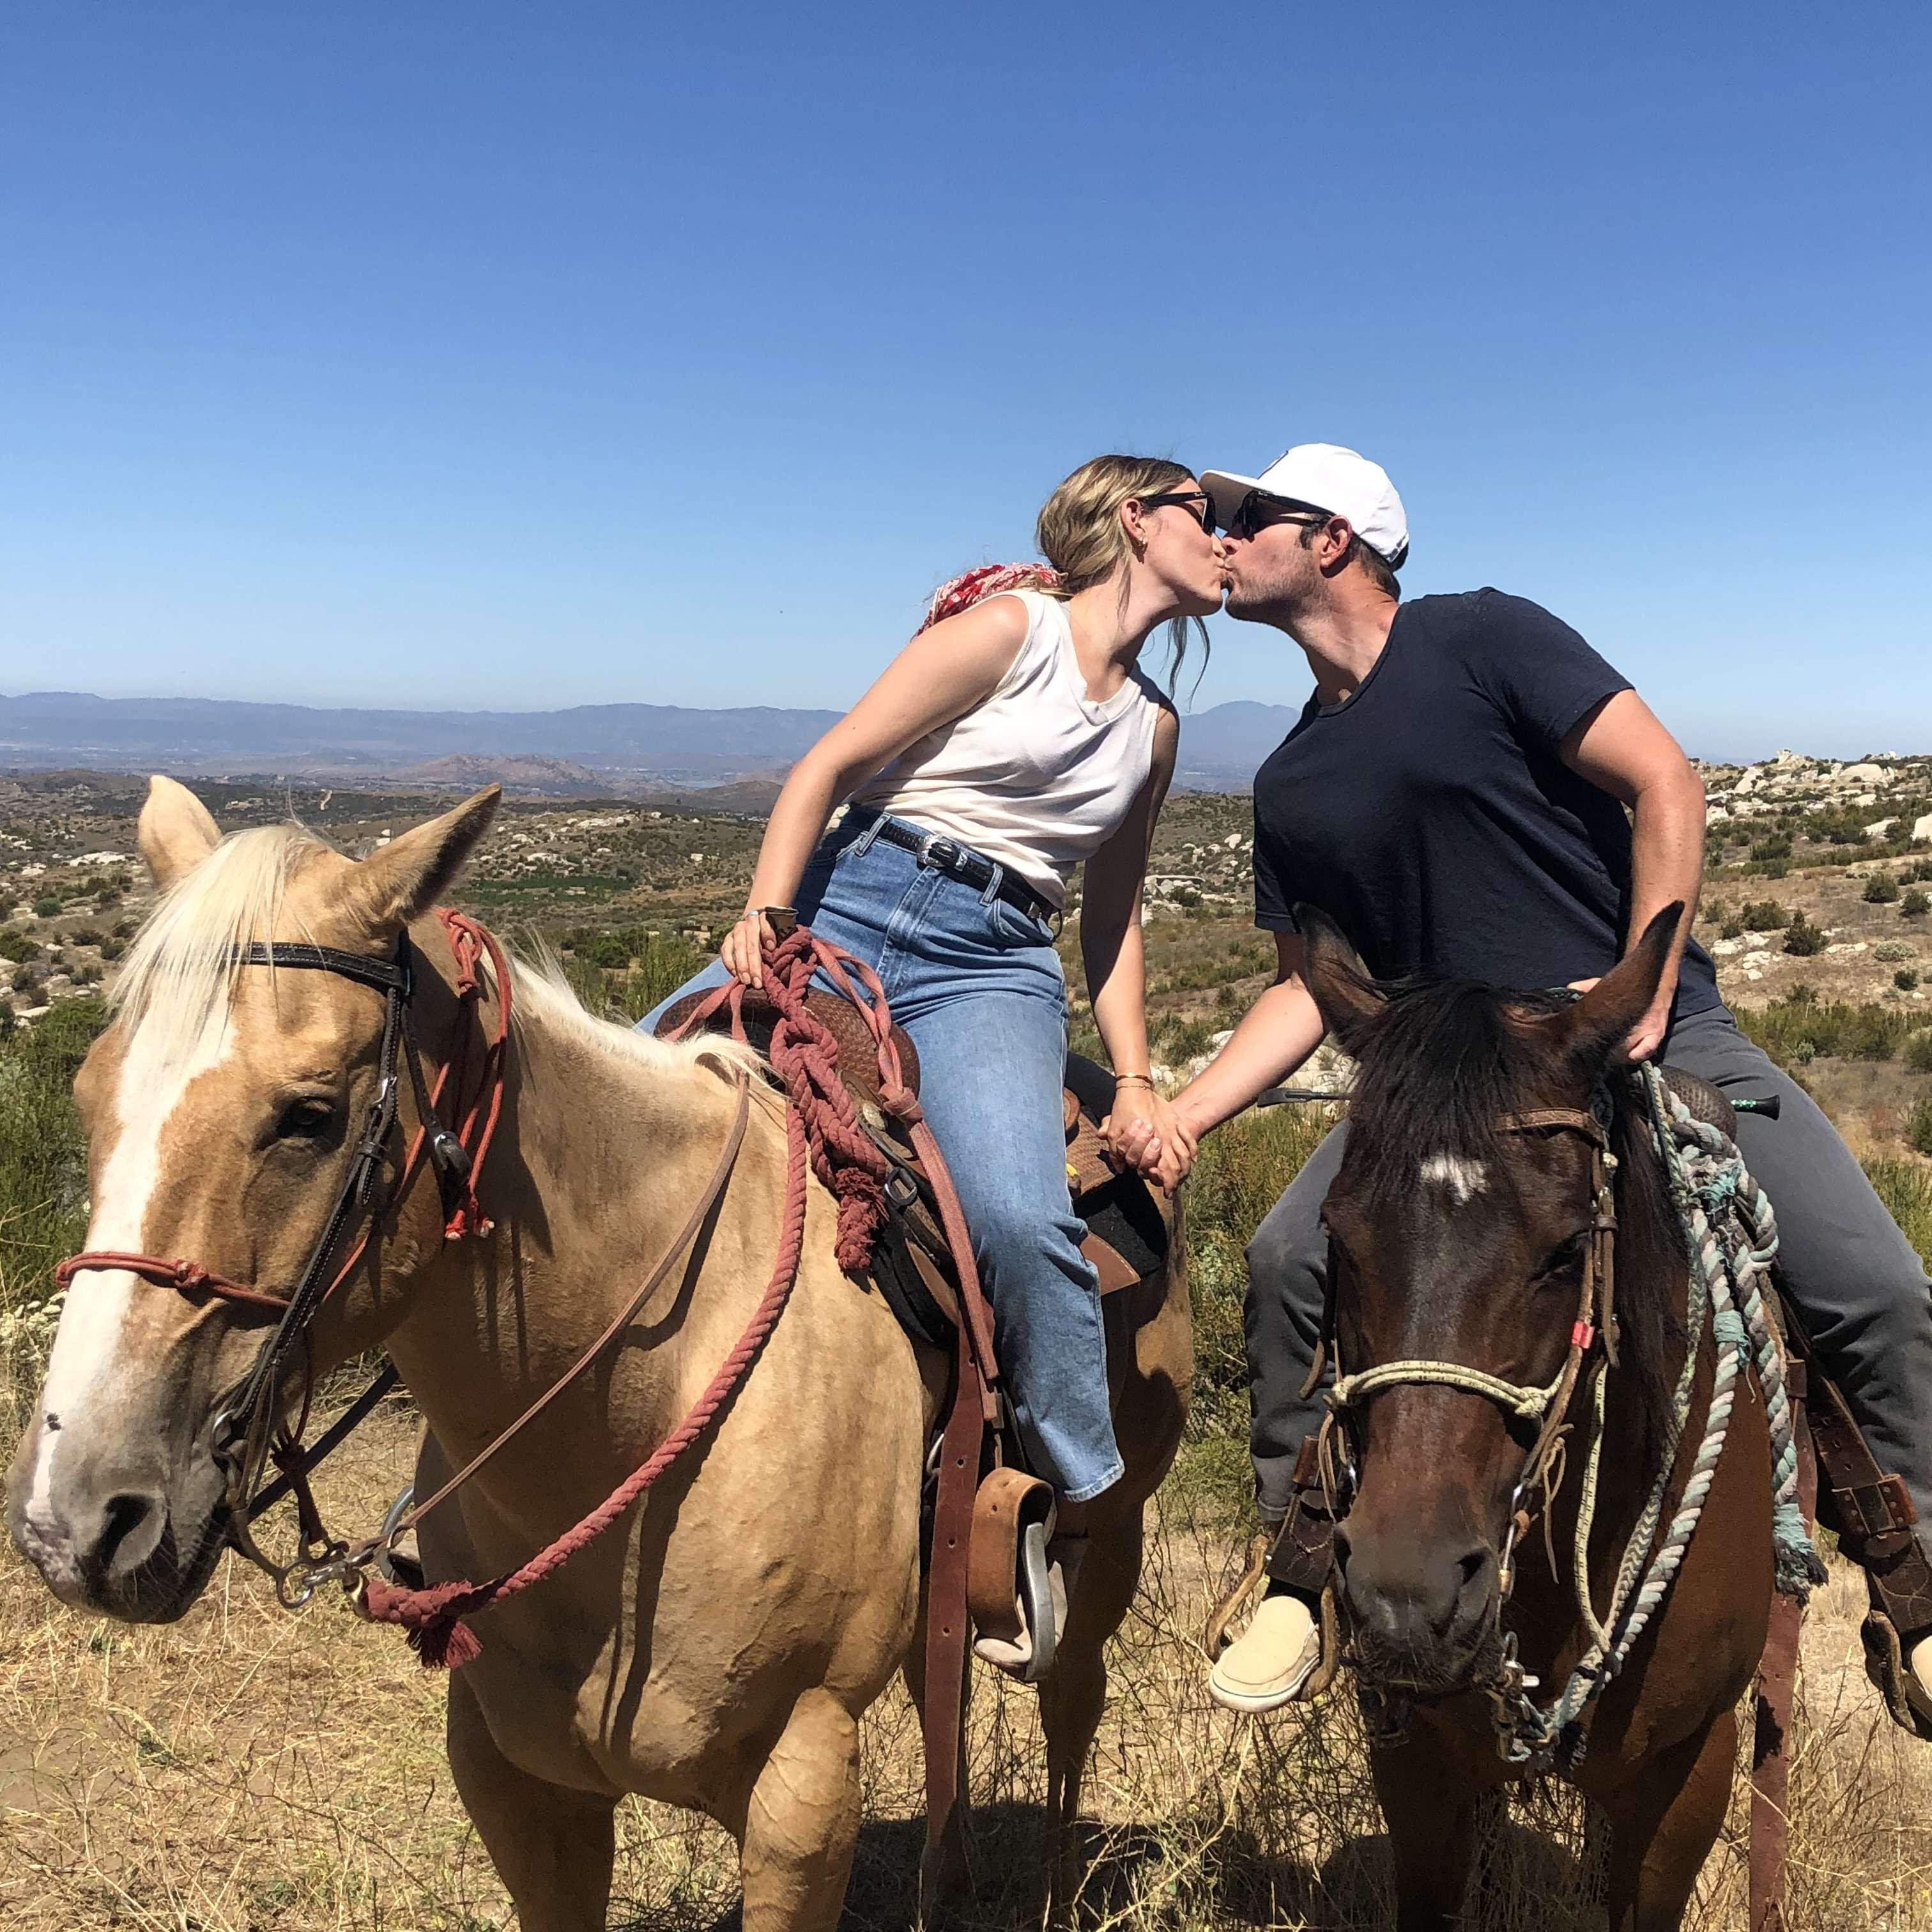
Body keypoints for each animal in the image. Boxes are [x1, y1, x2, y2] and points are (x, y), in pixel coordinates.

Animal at [3, 780, 1190, 1932]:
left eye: (309, 1114)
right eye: (87, 1095)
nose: (81, 1516)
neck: (633, 1411)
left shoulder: (803, 1788)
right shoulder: (514, 1780)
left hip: (1108, 1538)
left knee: (1072, 1695)